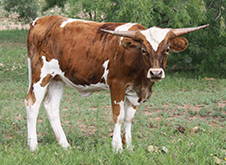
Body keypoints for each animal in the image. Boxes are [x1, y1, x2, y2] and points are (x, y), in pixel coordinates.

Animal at [25, 15, 208, 152]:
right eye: (144, 50)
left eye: (167, 49)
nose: (155, 73)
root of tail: (43, 19)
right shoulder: (117, 86)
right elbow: (118, 117)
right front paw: (117, 147)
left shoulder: (135, 92)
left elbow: (129, 118)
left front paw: (129, 146)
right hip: (40, 75)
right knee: (32, 104)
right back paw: (33, 146)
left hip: (58, 78)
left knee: (51, 106)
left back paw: (65, 145)